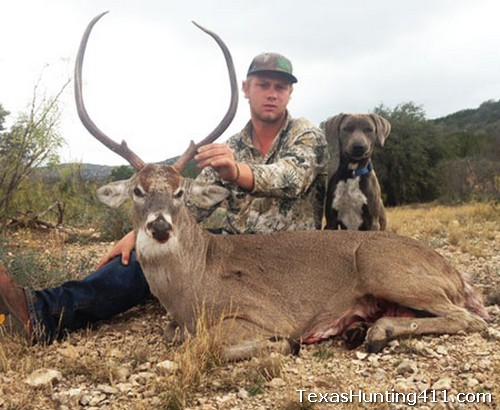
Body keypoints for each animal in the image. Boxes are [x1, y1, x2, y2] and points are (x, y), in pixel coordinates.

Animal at [75, 12, 488, 360]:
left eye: (180, 193)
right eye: (138, 191)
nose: (160, 226)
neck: (190, 288)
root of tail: (455, 273)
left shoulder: (261, 313)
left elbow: (214, 345)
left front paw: (285, 344)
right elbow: (174, 335)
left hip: (384, 269)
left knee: (472, 319)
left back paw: (376, 331)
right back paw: (363, 329)